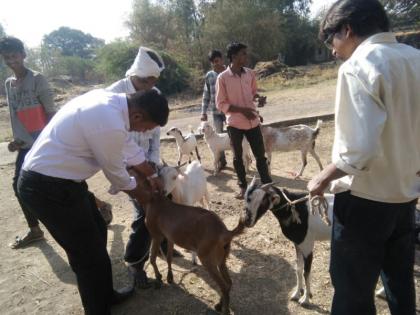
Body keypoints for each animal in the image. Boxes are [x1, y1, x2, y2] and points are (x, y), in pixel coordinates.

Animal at [130, 170, 244, 315]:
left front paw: (158, 278)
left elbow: (152, 257)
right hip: (222, 258)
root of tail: (225, 232)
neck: (153, 200)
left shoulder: (156, 235)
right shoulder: (170, 237)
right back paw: (219, 305)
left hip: (207, 257)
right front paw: (169, 277)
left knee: (223, 285)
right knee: (228, 283)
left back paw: (224, 310)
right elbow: (168, 257)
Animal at [243, 179, 334, 308]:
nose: (247, 221)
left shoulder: (308, 246)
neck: (294, 209)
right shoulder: (298, 244)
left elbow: (306, 273)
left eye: (263, 200)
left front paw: (305, 299)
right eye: (246, 198)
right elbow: (299, 269)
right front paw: (296, 294)